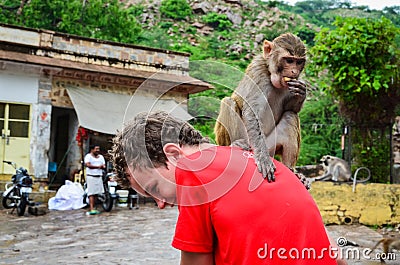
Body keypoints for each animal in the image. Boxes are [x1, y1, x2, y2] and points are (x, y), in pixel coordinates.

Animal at [216, 32, 306, 182]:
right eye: (288, 60)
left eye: (298, 62)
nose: (294, 71)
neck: (270, 74)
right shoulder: (258, 70)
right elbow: (251, 111)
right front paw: (263, 159)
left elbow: (291, 108)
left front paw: (301, 93)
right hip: (250, 142)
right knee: (228, 102)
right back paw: (236, 145)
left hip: (270, 146)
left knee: (290, 116)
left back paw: (291, 170)